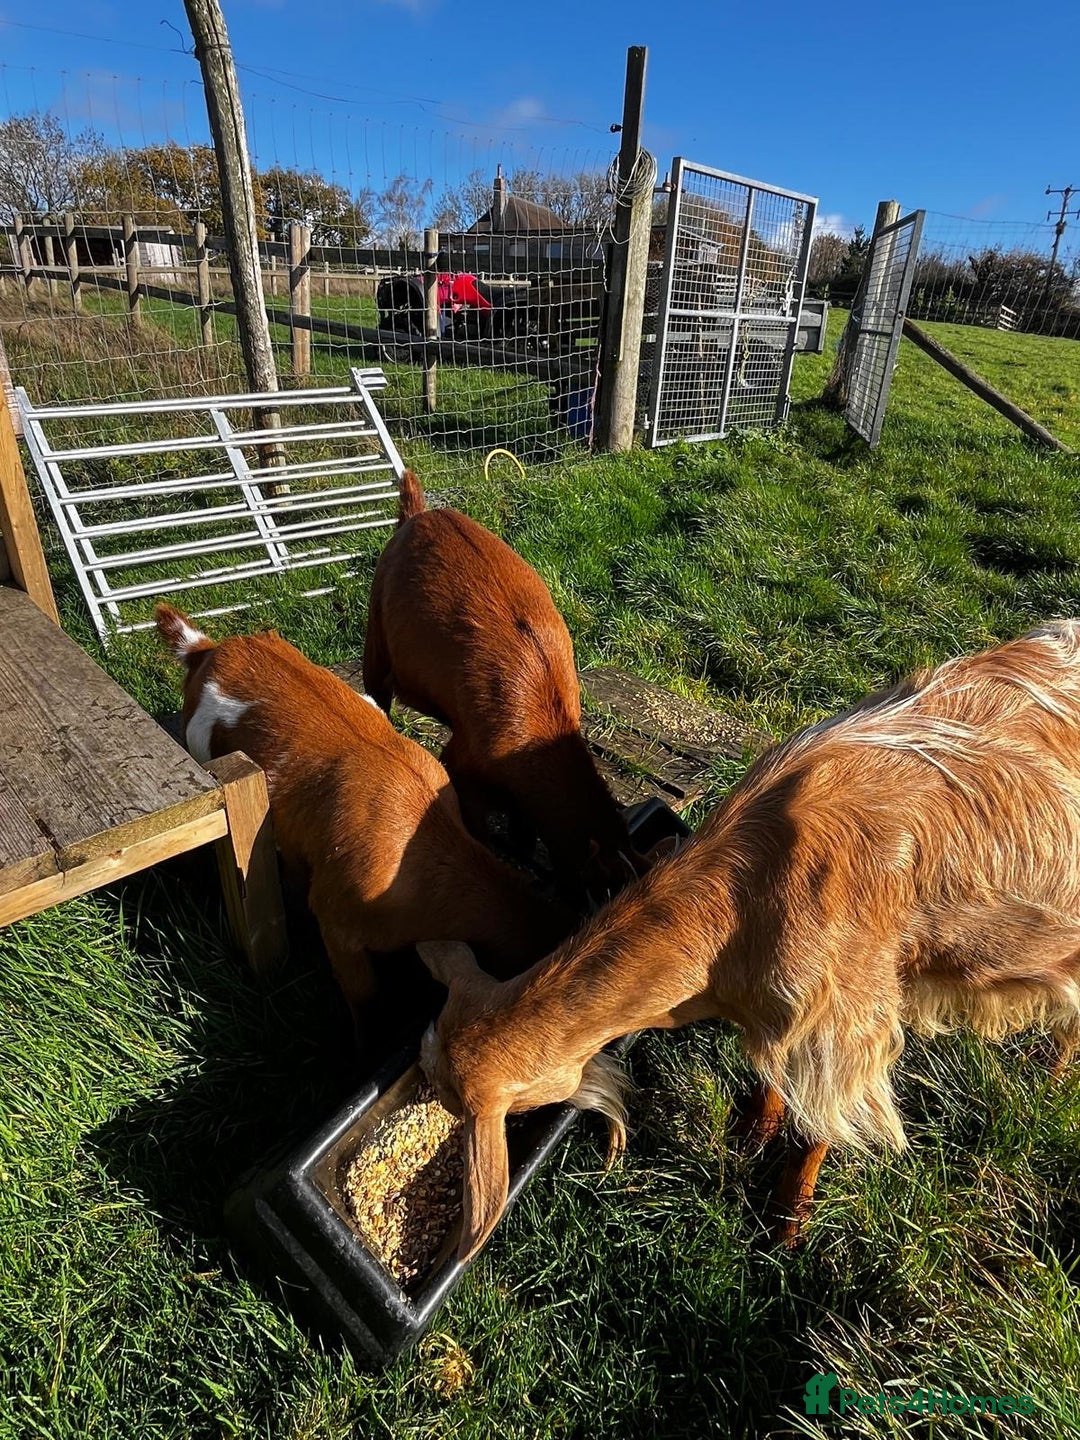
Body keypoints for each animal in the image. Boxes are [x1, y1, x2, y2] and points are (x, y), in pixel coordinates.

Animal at [418, 621, 1080, 1259]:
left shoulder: (845, 1026)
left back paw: (1049, 1076)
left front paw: (786, 1227)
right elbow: (769, 1080)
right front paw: (749, 1136)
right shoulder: (779, 1016)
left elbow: (814, 1132)